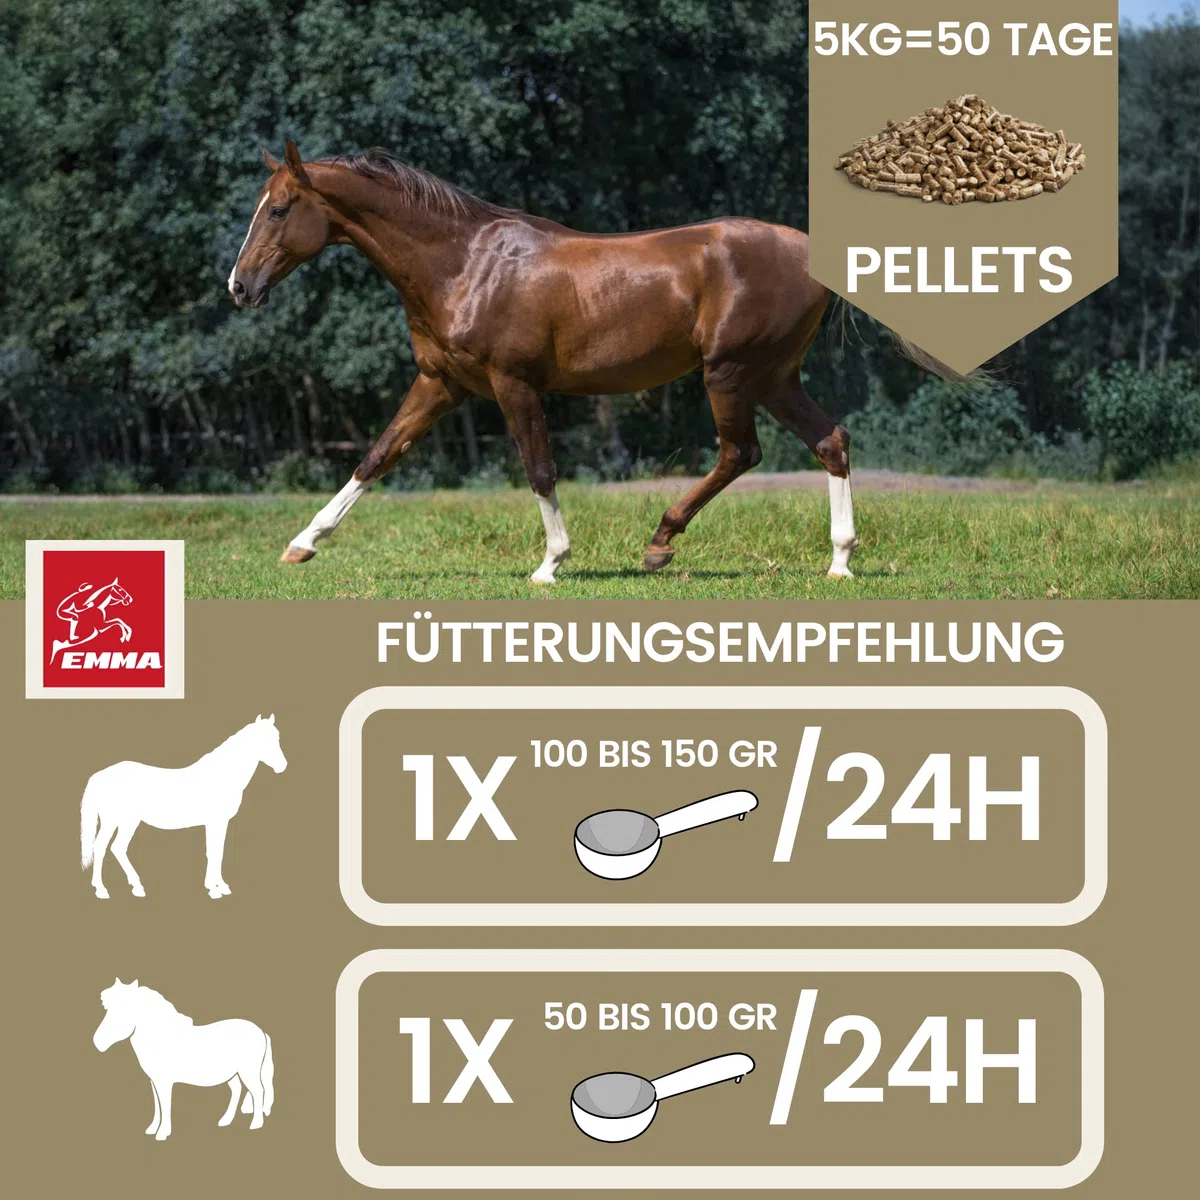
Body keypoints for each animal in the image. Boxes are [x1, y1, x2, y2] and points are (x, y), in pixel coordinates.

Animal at [80, 714, 287, 900]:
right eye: (264, 740)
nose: (283, 766)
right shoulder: (215, 822)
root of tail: (99, 776)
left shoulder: (221, 823)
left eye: (277, 738)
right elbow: (213, 852)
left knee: (118, 847)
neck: (220, 776)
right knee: (100, 846)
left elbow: (218, 852)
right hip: (112, 820)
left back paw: (137, 887)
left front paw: (221, 886)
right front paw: (213, 889)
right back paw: (101, 890)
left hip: (129, 821)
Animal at [93, 978, 274, 1141]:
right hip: (233, 1074)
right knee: (237, 1090)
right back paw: (225, 1120)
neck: (161, 1039)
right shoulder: (154, 1081)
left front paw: (162, 1133)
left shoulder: (164, 1082)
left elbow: (165, 1105)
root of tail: (261, 1031)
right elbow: (157, 1105)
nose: (97, 1041)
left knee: (258, 1091)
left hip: (248, 1072)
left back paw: (256, 1124)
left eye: (124, 1010)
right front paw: (152, 1129)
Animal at [228, 142, 951, 584]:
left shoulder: (512, 384)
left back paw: (661, 543)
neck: (463, 262)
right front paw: (303, 543)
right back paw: (839, 560)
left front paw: (551, 563)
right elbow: (377, 456)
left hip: (731, 373)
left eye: (280, 208)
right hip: (773, 376)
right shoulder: (443, 384)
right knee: (829, 440)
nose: (239, 286)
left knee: (740, 452)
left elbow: (540, 469)